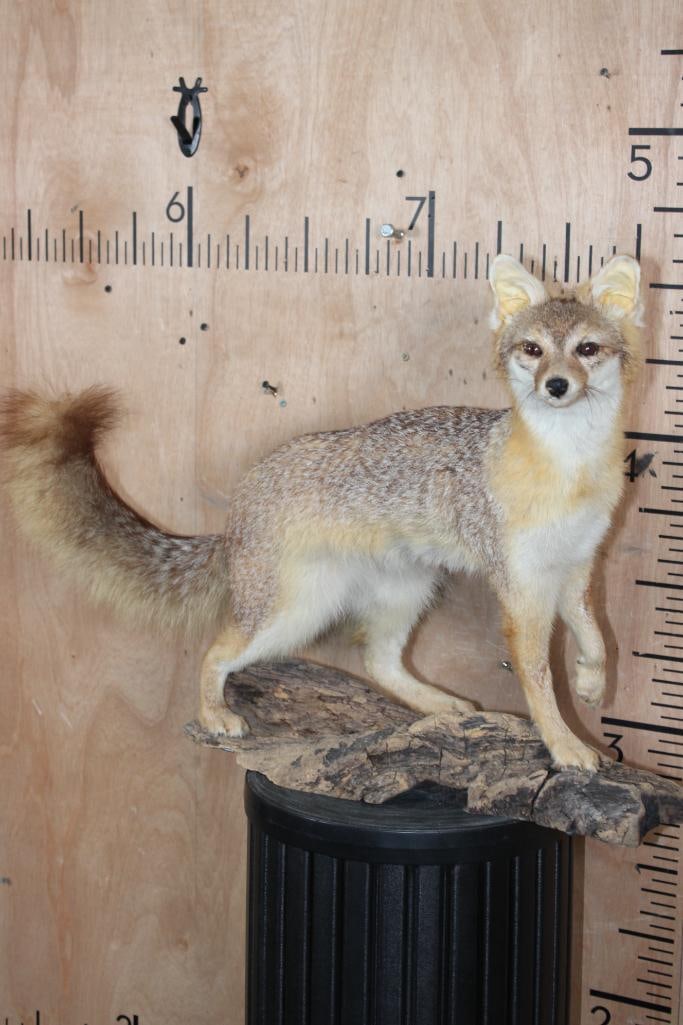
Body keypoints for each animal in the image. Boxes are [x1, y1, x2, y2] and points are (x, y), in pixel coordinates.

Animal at [0, 253, 642, 771]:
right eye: (533, 351)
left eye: (587, 349)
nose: (556, 386)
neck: (571, 471)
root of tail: (236, 511)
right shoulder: (521, 587)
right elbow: (537, 680)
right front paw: (565, 744)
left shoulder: (575, 567)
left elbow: (595, 636)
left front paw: (591, 684)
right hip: (293, 614)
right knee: (217, 650)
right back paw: (213, 715)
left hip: (401, 593)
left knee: (379, 661)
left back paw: (443, 706)